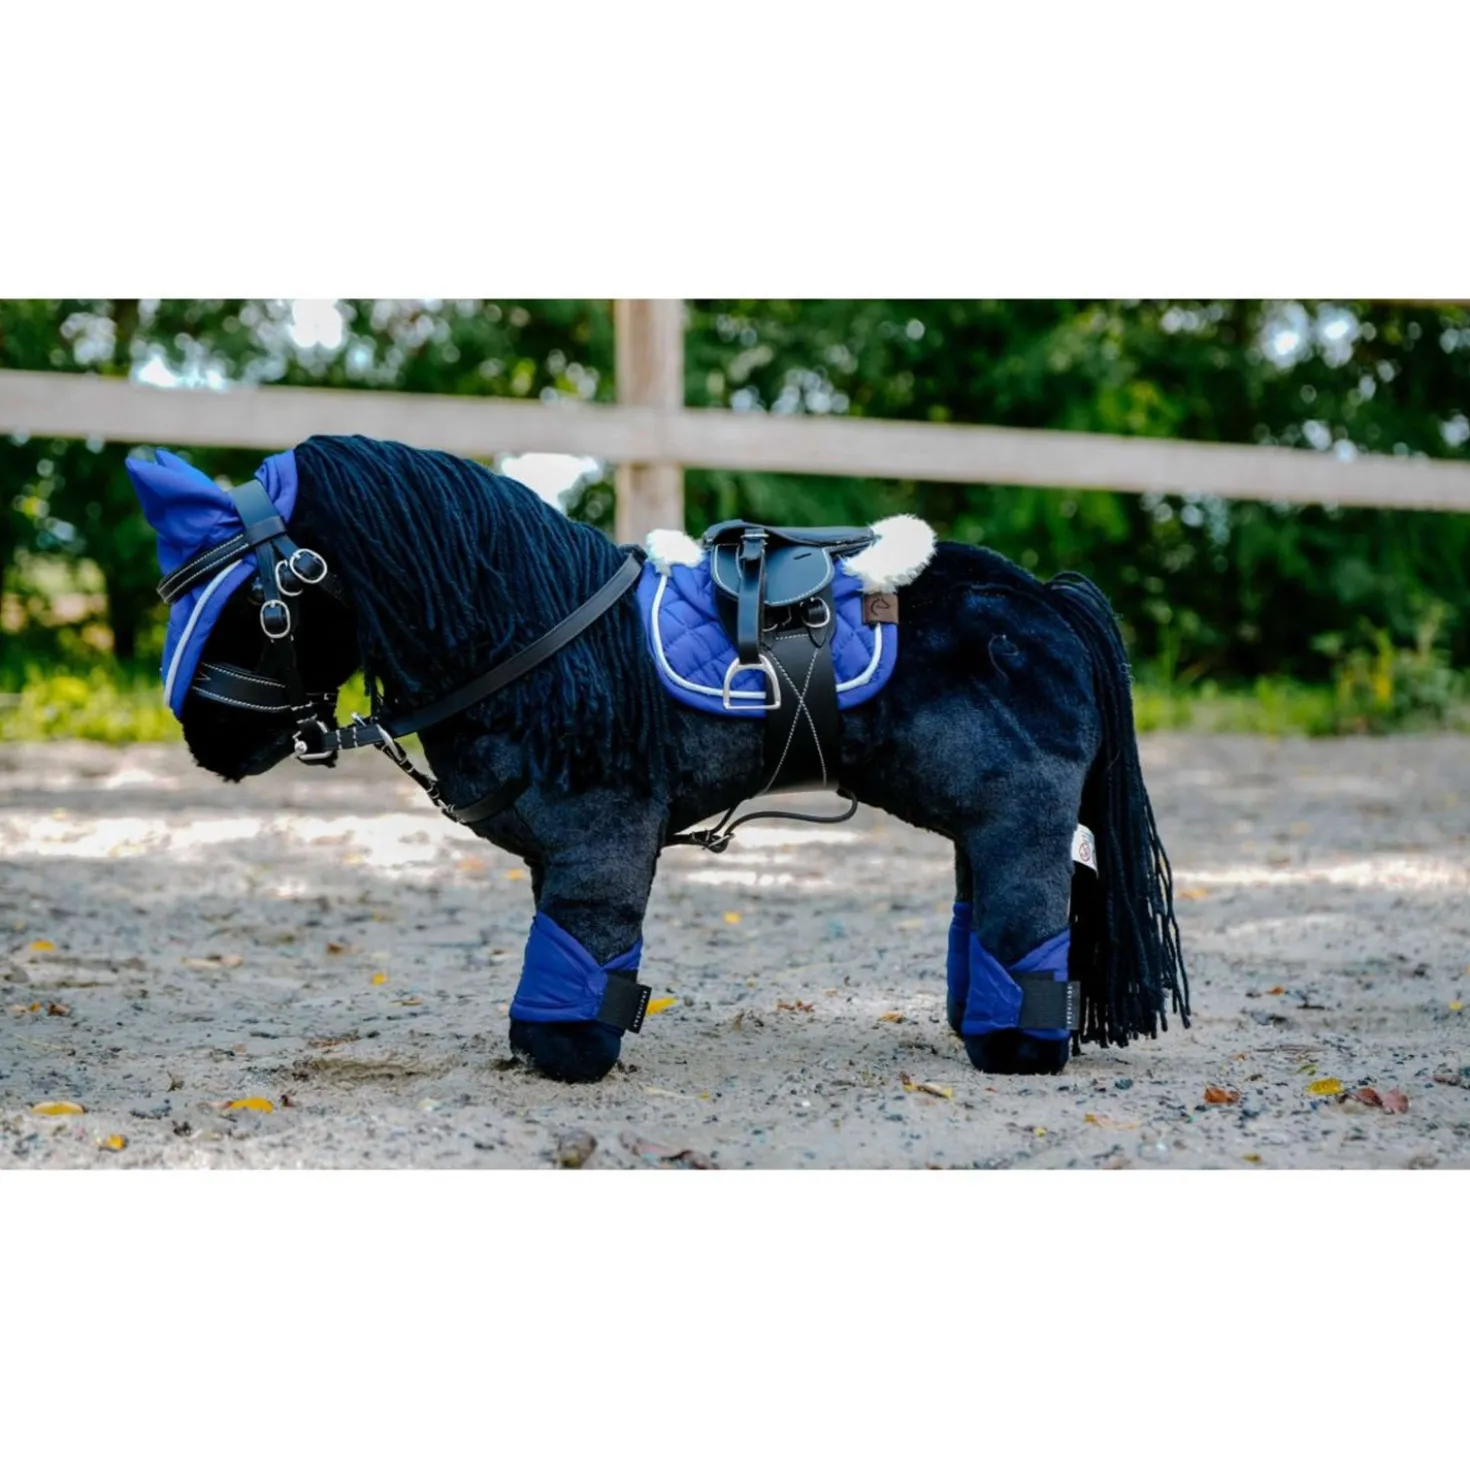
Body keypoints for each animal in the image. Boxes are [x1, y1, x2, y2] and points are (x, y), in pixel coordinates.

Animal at [126, 433, 1187, 1084]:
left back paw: (1018, 1045)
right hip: (979, 819)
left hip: (1023, 818)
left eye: (259, 604)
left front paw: (563, 1050)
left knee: (1029, 912)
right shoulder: (560, 851)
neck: (534, 631)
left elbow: (586, 948)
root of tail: (1044, 598)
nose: (206, 737)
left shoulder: (603, 838)